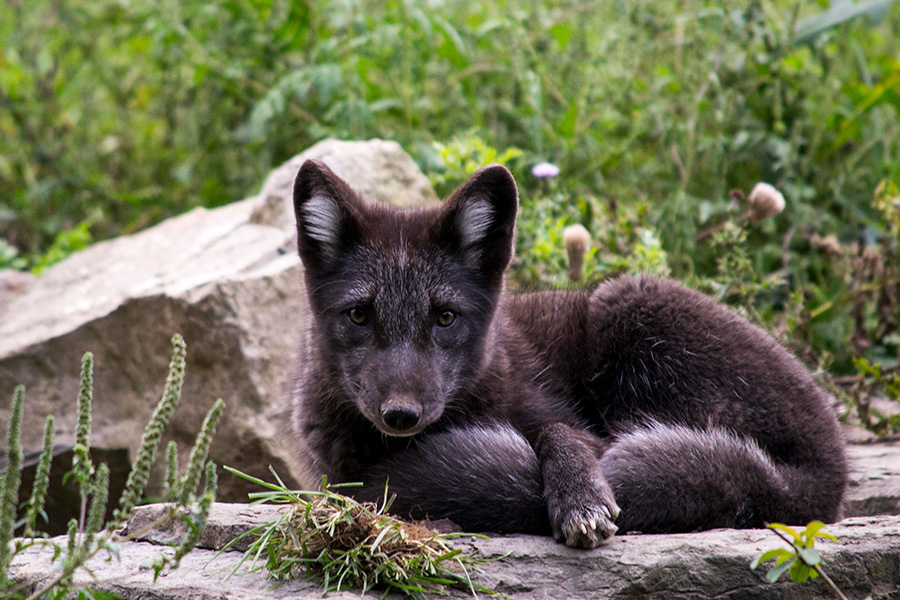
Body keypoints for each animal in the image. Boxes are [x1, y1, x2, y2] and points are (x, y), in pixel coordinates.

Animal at [292, 159, 848, 548]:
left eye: (445, 318)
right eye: (359, 316)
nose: (401, 415)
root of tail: (825, 473)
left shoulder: (572, 421)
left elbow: (563, 433)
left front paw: (581, 496)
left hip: (626, 304)